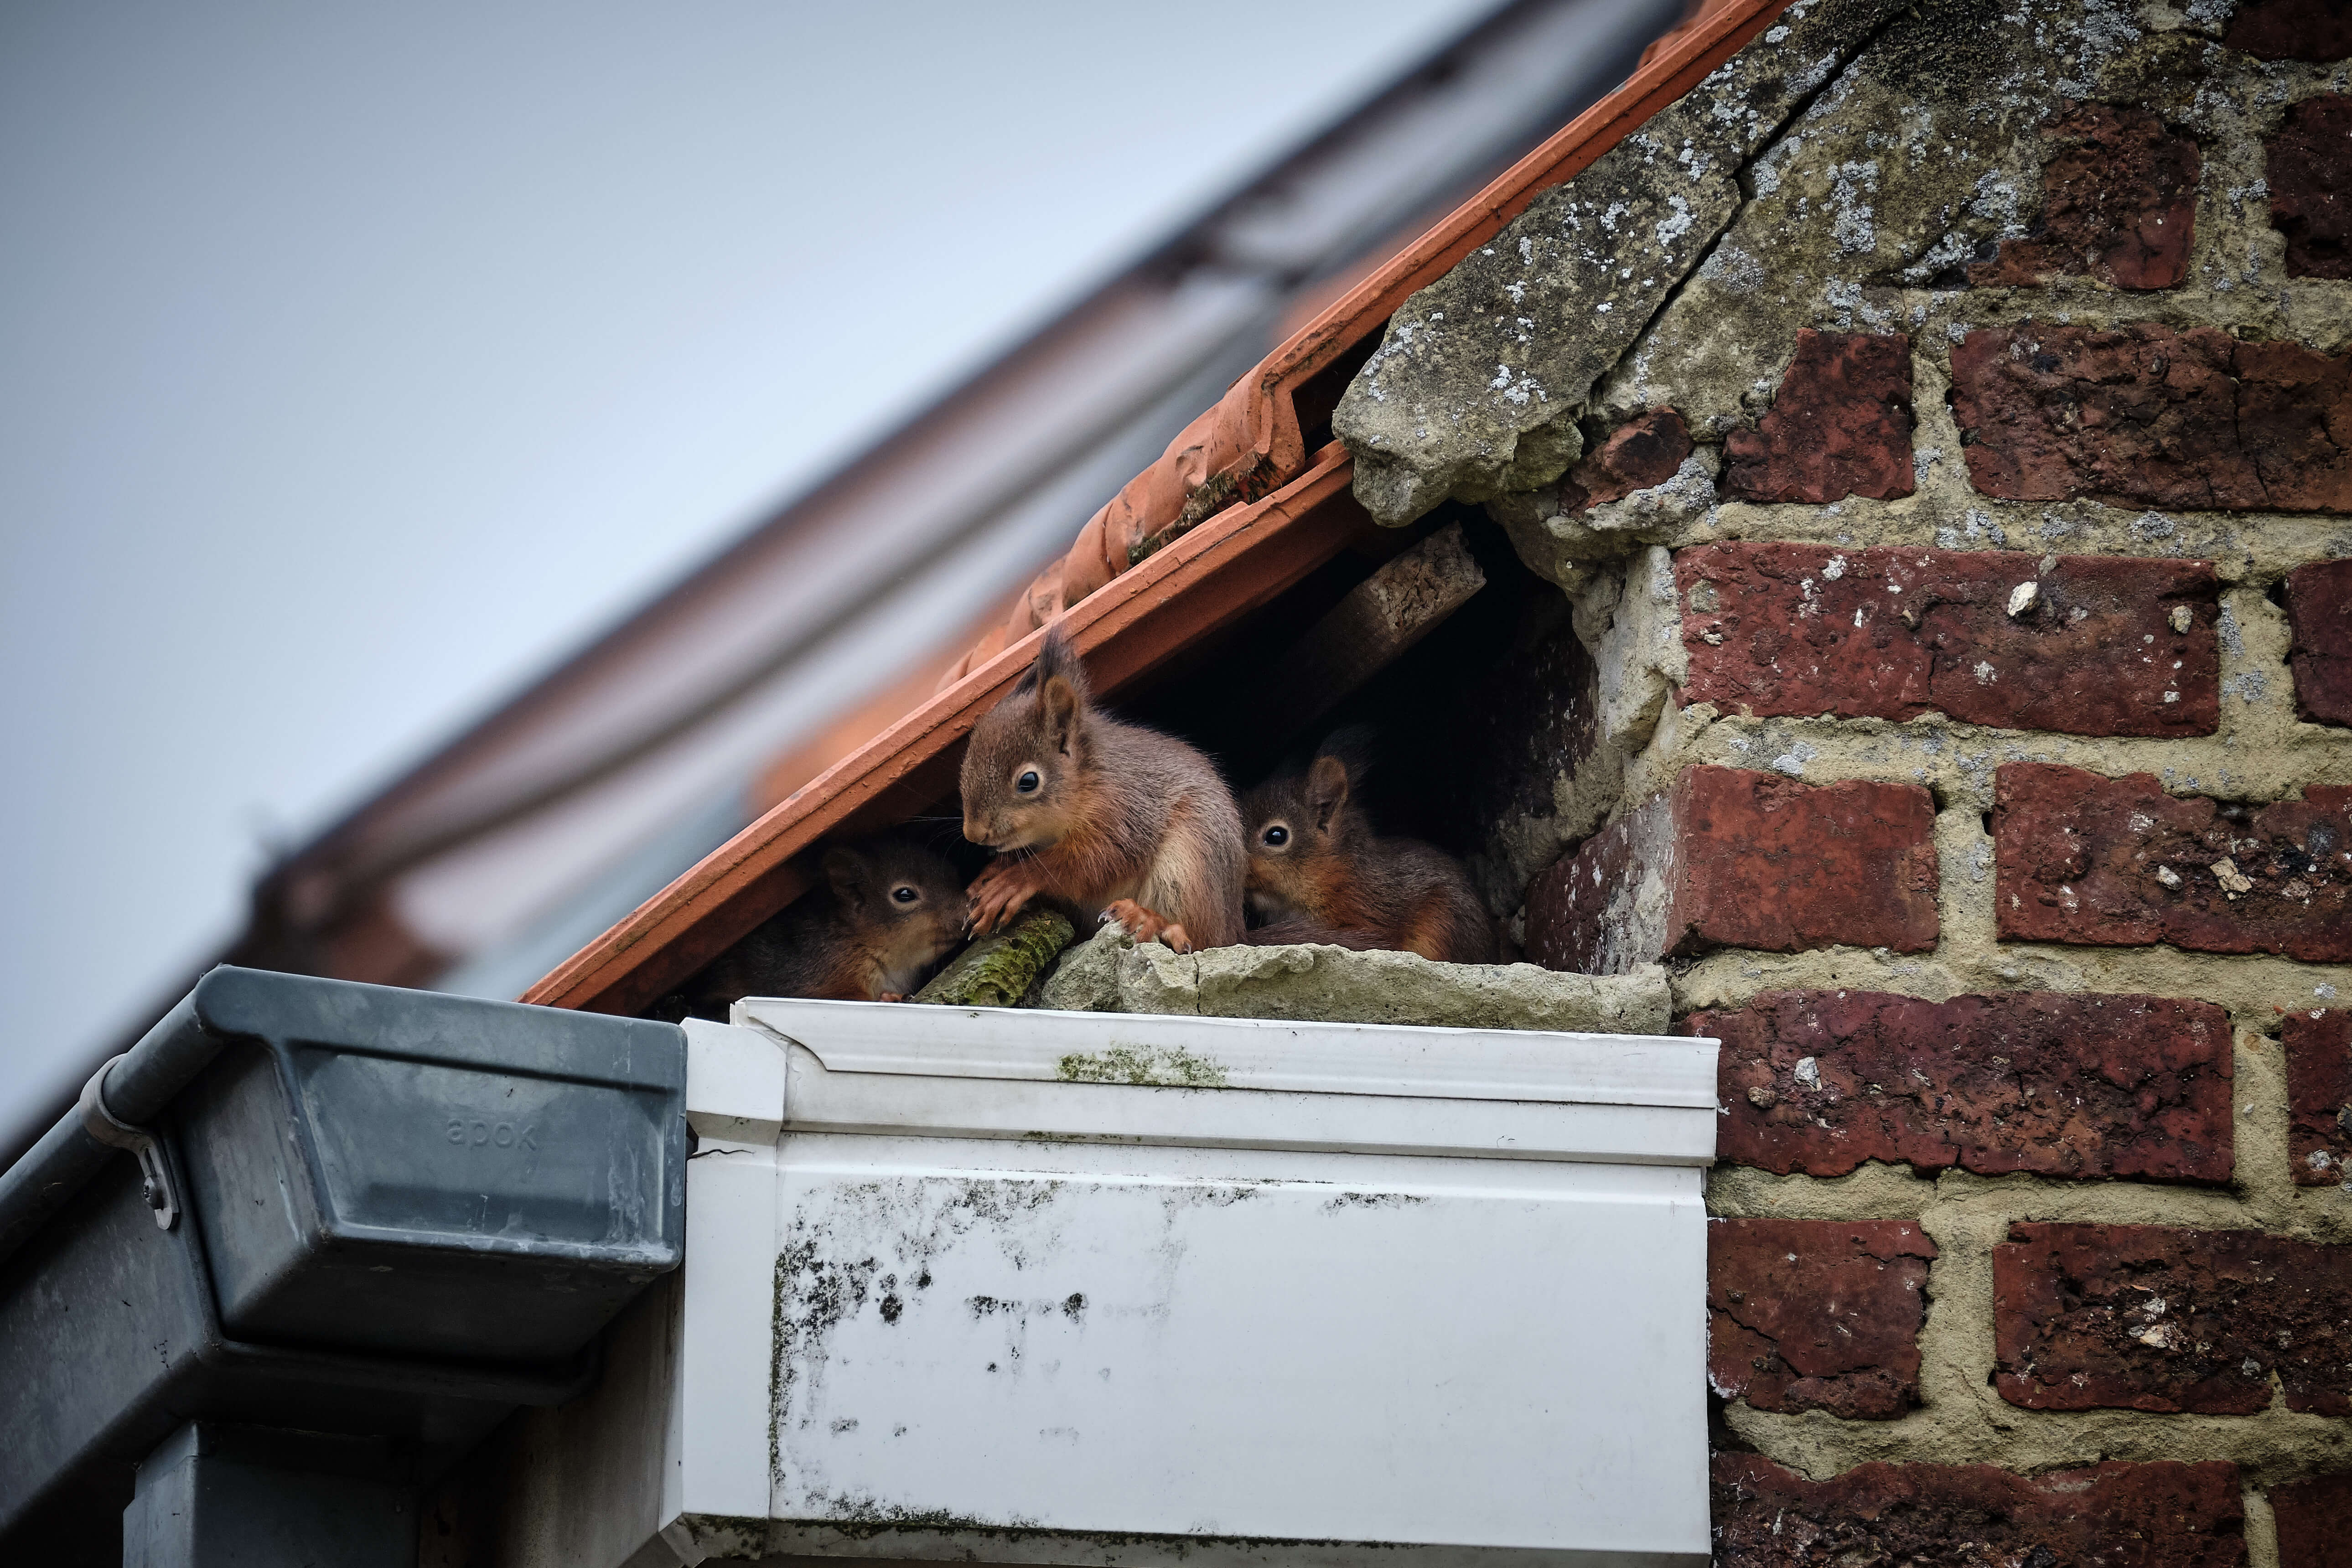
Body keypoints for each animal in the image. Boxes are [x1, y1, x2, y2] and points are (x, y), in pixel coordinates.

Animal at [959, 630, 1251, 959]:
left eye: (1028, 781)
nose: (974, 833)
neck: (1087, 780)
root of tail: (1236, 928)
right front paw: (991, 872)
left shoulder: (1124, 809)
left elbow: (1092, 861)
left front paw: (1014, 880)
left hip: (1190, 864)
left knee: (1201, 937)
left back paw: (1148, 919)